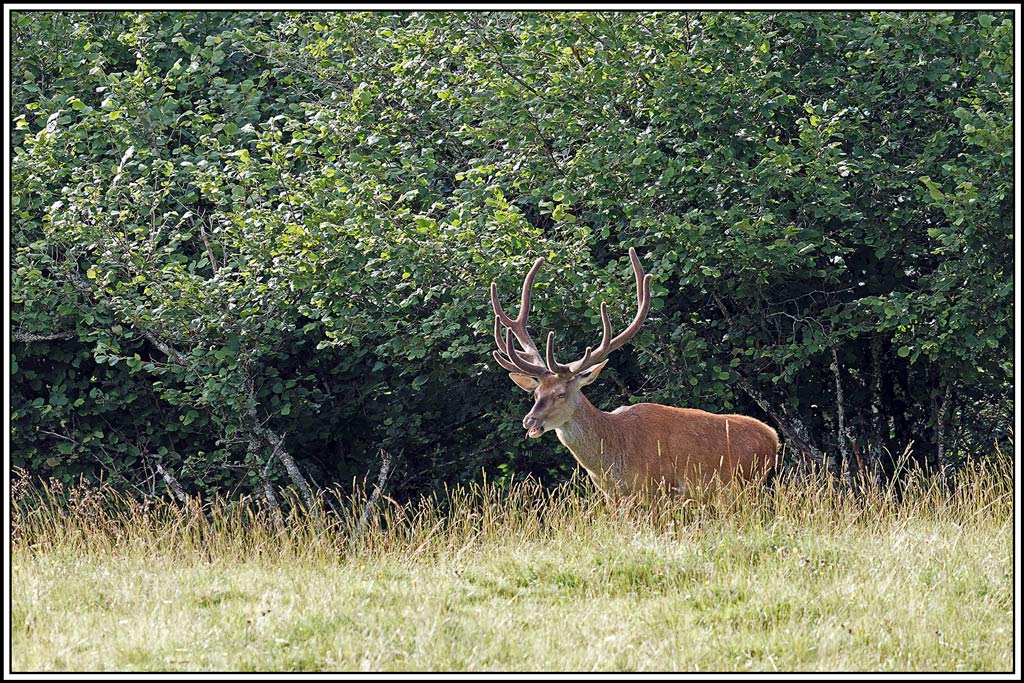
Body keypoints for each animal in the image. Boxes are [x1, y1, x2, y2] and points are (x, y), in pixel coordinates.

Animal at [490, 248, 779, 499]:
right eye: (536, 393)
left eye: (561, 393)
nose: (529, 420)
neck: (613, 460)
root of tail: (773, 437)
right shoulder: (613, 496)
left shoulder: (660, 487)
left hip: (747, 484)